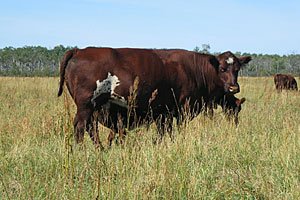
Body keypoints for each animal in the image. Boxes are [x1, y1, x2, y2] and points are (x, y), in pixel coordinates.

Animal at [58, 47, 251, 147]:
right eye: (222, 69)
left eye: (237, 69)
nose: (234, 87)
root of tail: (79, 50)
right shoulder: (182, 109)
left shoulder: (163, 113)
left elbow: (163, 133)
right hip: (86, 104)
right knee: (81, 127)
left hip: (93, 106)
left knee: (91, 128)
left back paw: (100, 149)